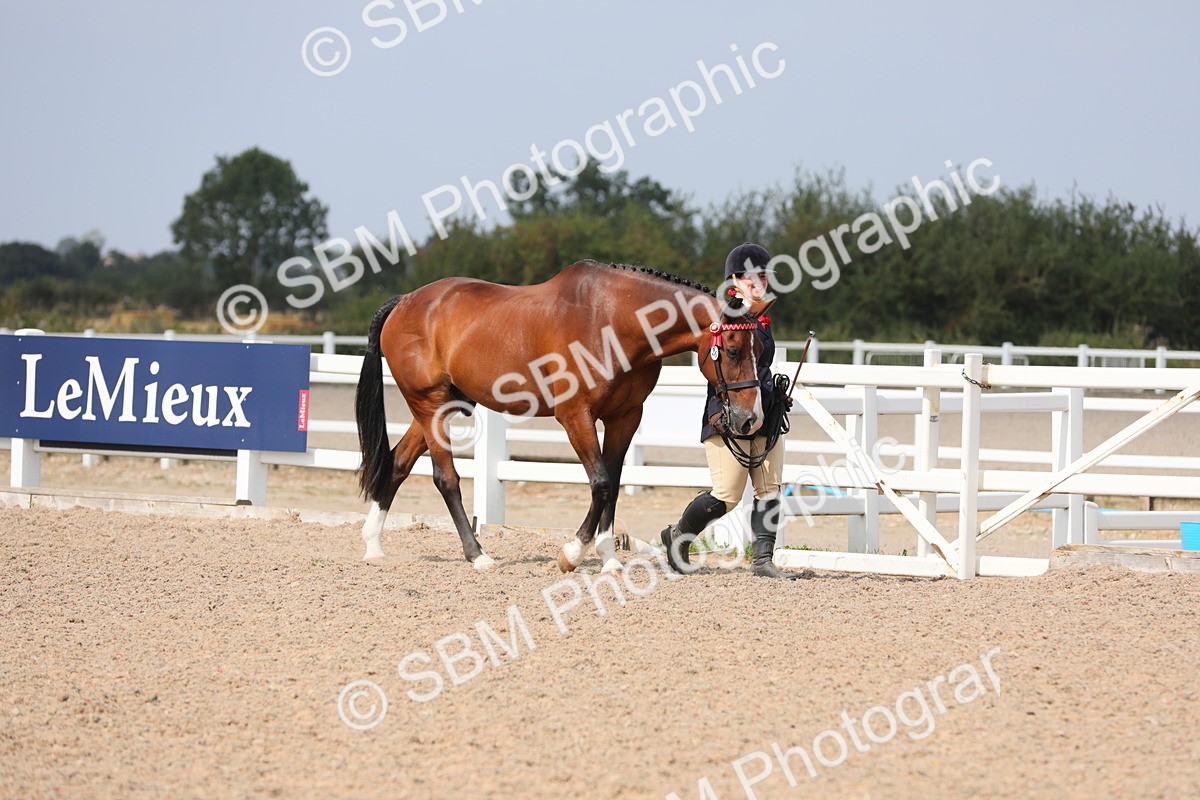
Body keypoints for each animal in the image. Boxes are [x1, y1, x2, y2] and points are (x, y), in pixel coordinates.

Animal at [354, 259, 766, 573]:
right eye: (732, 349)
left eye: (760, 349)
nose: (749, 420)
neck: (613, 322)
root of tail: (404, 302)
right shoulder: (575, 416)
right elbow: (600, 482)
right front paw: (571, 553)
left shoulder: (625, 417)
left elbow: (613, 484)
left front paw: (609, 559)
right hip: (430, 405)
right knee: (446, 478)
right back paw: (478, 556)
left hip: (442, 405)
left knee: (398, 463)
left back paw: (373, 545)